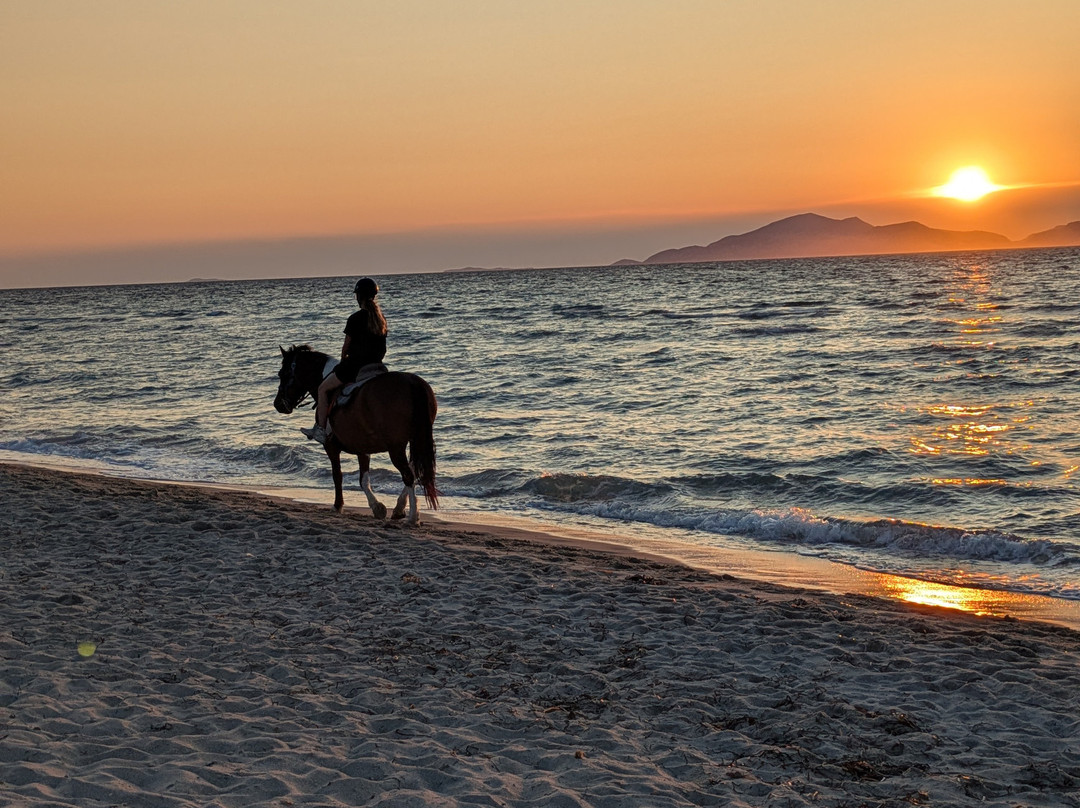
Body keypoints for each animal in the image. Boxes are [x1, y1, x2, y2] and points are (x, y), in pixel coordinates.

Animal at [274, 344, 439, 524]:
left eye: (282, 374)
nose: (277, 404)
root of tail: (412, 383)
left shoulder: (331, 446)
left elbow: (338, 475)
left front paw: (338, 506)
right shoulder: (362, 447)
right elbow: (364, 480)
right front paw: (377, 507)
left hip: (396, 447)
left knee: (408, 475)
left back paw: (413, 516)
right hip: (417, 439)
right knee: (415, 471)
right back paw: (399, 509)